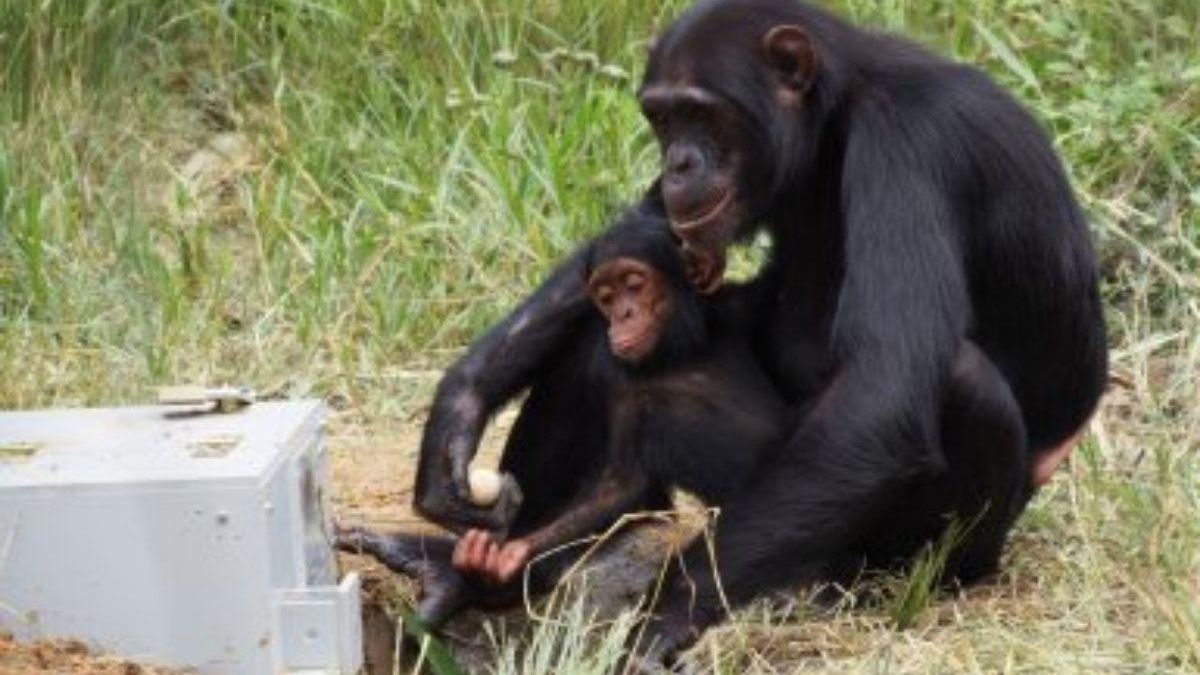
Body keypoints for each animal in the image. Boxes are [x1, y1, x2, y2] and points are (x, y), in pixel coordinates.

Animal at [405, 0, 1104, 662]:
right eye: (662, 119)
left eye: (702, 114)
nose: (680, 162)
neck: (833, 118)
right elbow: (635, 230)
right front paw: (456, 418)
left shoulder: (909, 144)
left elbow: (883, 388)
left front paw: (663, 615)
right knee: (593, 355)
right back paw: (464, 574)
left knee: (958, 380)